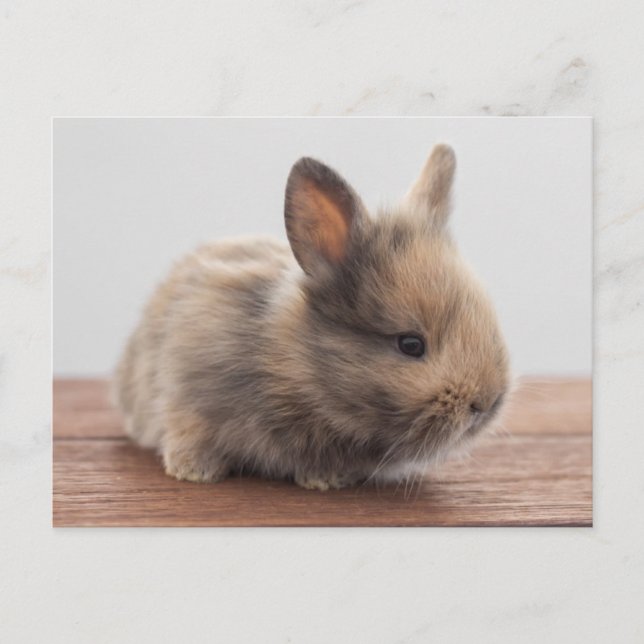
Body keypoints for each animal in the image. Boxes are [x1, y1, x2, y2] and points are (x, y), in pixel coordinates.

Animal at [114, 144, 510, 491]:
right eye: (410, 344)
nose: (486, 403)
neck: (293, 369)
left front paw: (326, 480)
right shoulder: (187, 392)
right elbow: (189, 431)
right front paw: (194, 472)